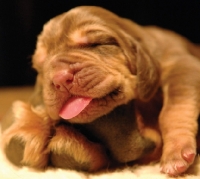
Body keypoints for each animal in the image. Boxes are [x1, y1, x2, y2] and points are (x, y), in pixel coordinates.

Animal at [1, 5, 200, 176]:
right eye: (40, 64)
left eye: (97, 44)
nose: (60, 78)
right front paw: (30, 126)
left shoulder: (183, 65)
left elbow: (174, 108)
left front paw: (176, 151)